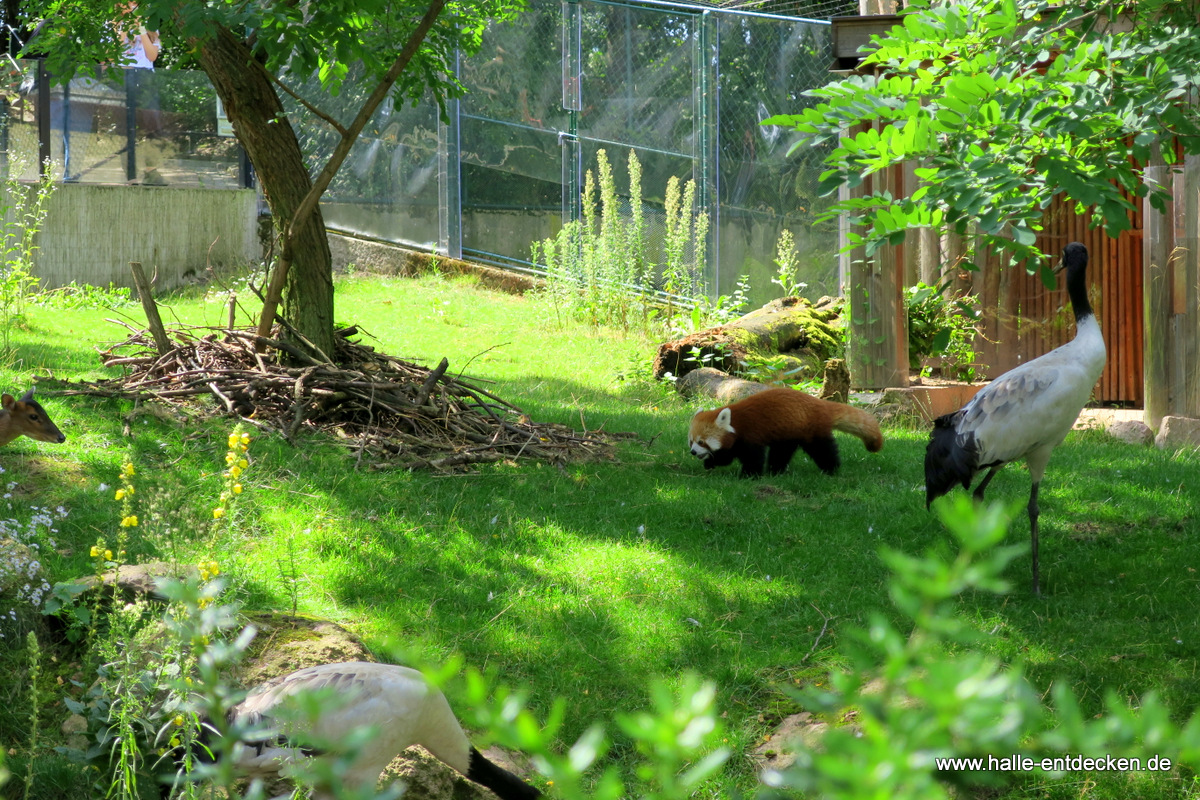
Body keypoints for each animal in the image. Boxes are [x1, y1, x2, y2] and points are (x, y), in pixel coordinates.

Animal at [686, 388, 883, 479]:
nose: (693, 452)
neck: (736, 421)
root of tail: (821, 404)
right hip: (789, 433)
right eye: (691, 441)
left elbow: (753, 458)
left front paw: (748, 476)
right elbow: (726, 455)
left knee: (823, 449)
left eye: (702, 442)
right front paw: (710, 462)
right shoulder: (735, 441)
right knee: (781, 453)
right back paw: (776, 471)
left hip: (811, 430)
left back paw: (831, 469)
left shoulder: (751, 435)